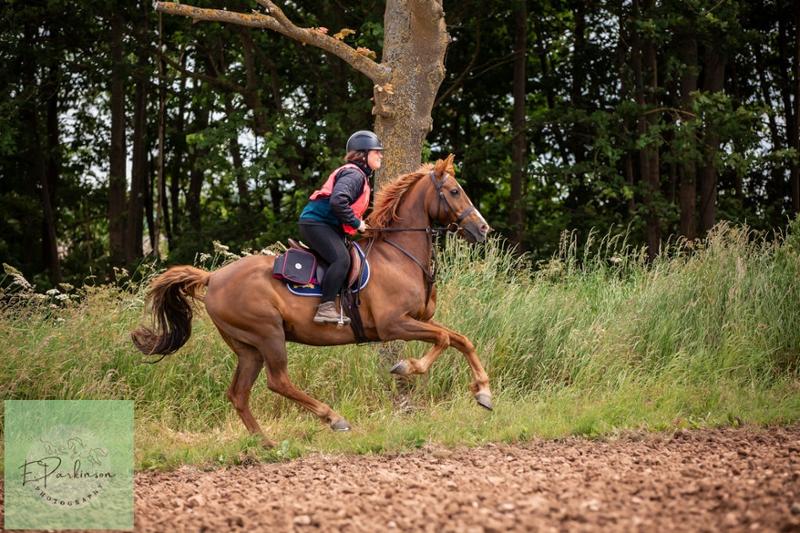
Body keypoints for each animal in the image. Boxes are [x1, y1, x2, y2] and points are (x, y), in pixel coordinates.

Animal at [131, 154, 493, 446]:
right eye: (455, 191)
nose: (483, 230)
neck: (398, 254)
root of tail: (213, 277)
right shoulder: (393, 325)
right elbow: (444, 339)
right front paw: (407, 366)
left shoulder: (419, 320)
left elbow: (462, 340)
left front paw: (484, 393)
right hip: (268, 334)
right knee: (278, 382)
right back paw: (334, 419)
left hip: (248, 347)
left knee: (239, 393)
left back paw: (265, 443)